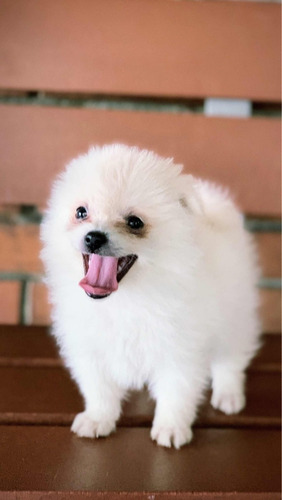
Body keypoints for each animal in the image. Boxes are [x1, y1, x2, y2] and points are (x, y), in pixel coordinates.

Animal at [40, 144, 262, 450]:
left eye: (135, 222)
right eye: (81, 212)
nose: (94, 237)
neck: (125, 300)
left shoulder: (180, 349)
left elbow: (176, 392)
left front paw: (171, 427)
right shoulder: (90, 347)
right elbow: (99, 388)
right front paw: (98, 418)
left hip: (235, 315)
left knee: (230, 359)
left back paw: (228, 395)